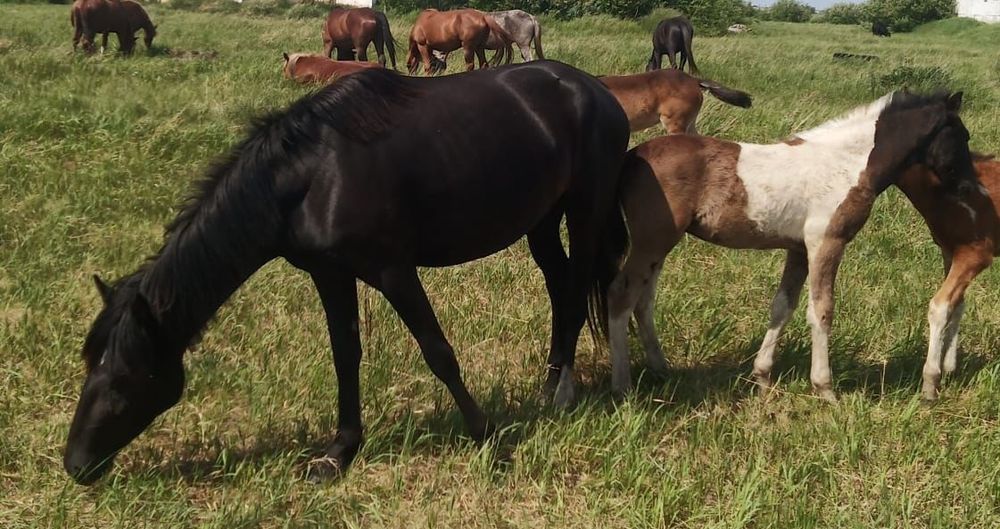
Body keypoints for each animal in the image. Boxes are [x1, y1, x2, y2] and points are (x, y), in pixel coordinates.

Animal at [62, 61, 631, 485]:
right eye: (90, 368)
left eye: (124, 379)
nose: (75, 464)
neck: (314, 176)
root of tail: (598, 91)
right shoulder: (329, 274)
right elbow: (345, 355)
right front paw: (338, 453)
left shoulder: (392, 269)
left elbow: (437, 351)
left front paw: (487, 438)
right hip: (542, 220)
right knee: (559, 286)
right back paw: (550, 383)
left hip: (585, 210)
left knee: (576, 290)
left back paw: (561, 395)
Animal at [599, 91, 976, 400]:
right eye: (962, 137)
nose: (970, 188)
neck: (847, 165)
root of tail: (632, 157)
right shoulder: (826, 243)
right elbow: (821, 310)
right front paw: (825, 389)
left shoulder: (798, 249)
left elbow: (783, 306)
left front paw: (762, 377)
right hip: (652, 242)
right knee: (621, 295)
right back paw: (623, 385)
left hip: (659, 246)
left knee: (643, 301)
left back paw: (661, 369)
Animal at [897, 154, 999, 400]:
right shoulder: (949, 250)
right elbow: (957, 305)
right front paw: (950, 368)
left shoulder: (975, 254)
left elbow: (940, 306)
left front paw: (930, 384)